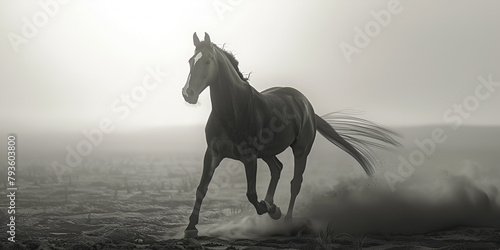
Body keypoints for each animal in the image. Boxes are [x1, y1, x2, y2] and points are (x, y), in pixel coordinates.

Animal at [182, 32, 400, 237]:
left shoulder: (249, 156)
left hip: (300, 150)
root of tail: (306, 104)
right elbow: (201, 189)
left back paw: (285, 218)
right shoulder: (213, 153)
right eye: (191, 61)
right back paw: (272, 206)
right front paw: (190, 228)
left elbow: (251, 194)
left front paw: (269, 209)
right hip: (267, 151)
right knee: (277, 168)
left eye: (207, 61)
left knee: (295, 182)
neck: (233, 110)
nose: (188, 93)